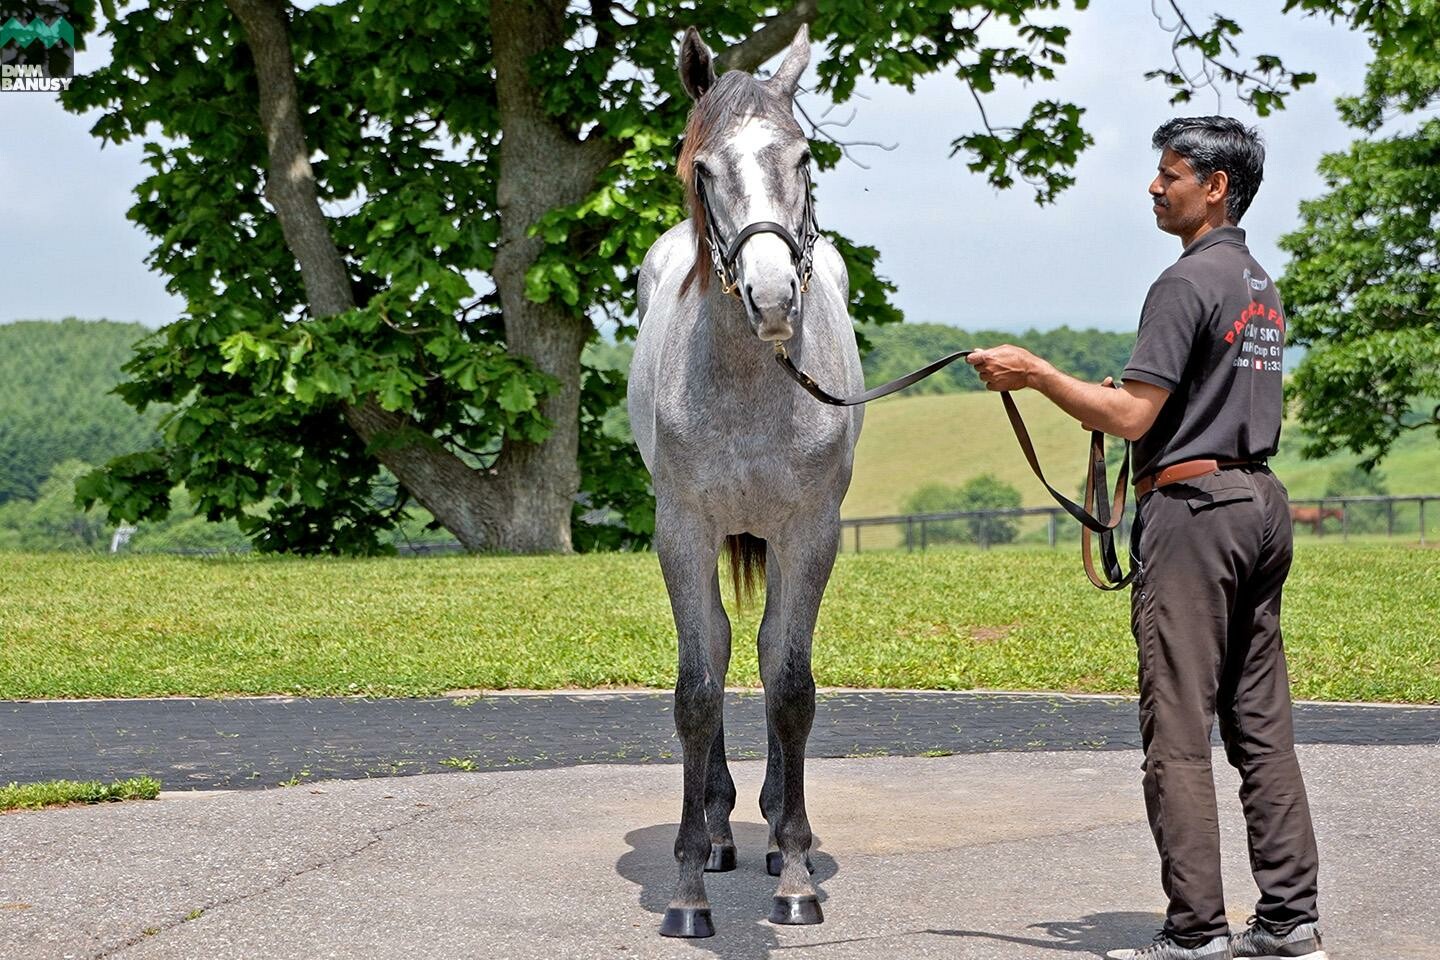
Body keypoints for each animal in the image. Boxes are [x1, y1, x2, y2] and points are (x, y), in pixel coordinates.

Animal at [624, 24, 858, 938]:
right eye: (704, 167)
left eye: (803, 158)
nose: (771, 294)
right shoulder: (683, 532)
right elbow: (698, 685)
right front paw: (690, 885)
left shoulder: (810, 533)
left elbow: (789, 684)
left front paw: (794, 872)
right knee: (722, 651)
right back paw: (722, 830)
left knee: (759, 652)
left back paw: (775, 831)